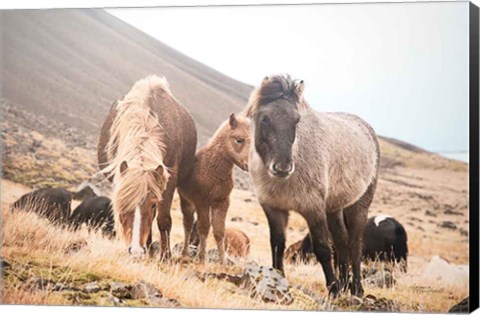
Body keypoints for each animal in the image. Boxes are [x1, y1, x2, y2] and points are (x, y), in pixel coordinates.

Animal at [97, 76, 197, 260]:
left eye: (152, 205)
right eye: (122, 204)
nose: (136, 251)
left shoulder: (168, 181)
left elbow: (163, 220)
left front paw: (166, 257)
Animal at [246, 74, 380, 298]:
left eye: (297, 119)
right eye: (265, 118)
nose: (282, 168)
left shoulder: (313, 209)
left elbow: (322, 248)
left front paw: (333, 289)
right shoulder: (274, 208)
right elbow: (277, 244)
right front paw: (278, 278)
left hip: (358, 206)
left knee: (354, 244)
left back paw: (356, 288)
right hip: (334, 208)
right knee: (342, 241)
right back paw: (345, 283)